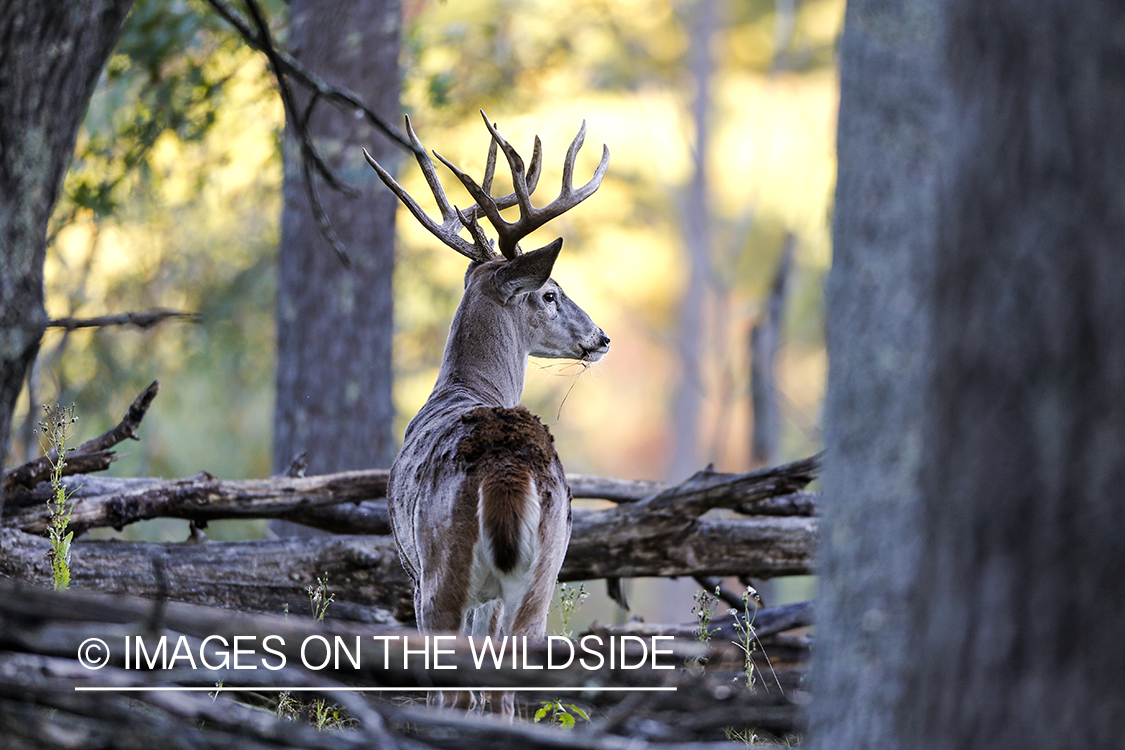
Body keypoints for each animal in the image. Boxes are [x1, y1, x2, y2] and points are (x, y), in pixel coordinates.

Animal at [362, 113, 612, 715]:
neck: (465, 386)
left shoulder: (411, 571)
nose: (601, 338)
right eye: (551, 293)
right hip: (544, 572)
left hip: (440, 568)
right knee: (503, 688)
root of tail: (507, 467)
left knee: (455, 692)